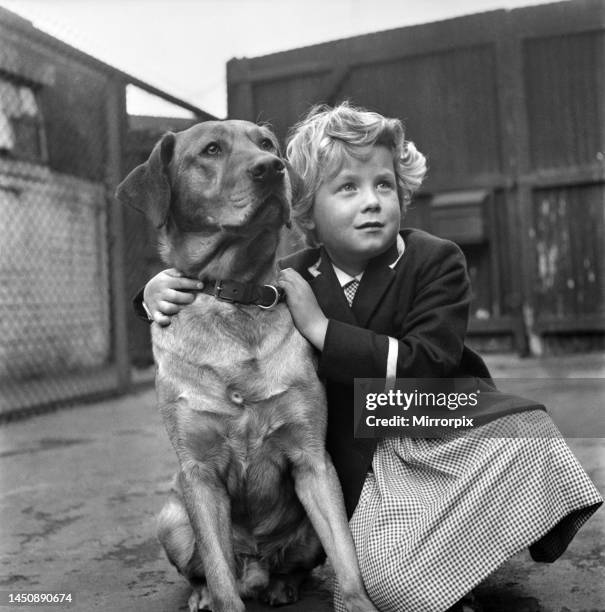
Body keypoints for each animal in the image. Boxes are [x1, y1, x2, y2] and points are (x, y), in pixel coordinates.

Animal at [115, 120, 376, 612]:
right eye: (211, 150)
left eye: (267, 144)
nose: (271, 168)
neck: (235, 295)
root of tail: (255, 563)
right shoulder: (199, 473)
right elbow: (220, 576)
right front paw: (215, 595)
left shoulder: (313, 459)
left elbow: (347, 557)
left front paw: (357, 602)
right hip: (171, 519)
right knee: (205, 569)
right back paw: (203, 594)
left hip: (303, 532)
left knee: (294, 564)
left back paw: (281, 585)